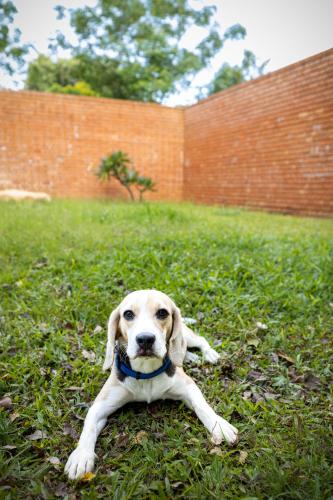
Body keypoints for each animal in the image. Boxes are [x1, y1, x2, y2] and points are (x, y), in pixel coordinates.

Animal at [64, 292, 236, 478]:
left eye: (162, 313)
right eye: (128, 314)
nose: (145, 339)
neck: (146, 371)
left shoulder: (188, 386)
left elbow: (202, 406)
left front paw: (219, 425)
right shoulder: (101, 404)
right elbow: (89, 424)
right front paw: (81, 455)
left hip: (187, 336)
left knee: (199, 340)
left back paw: (208, 353)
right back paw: (191, 357)